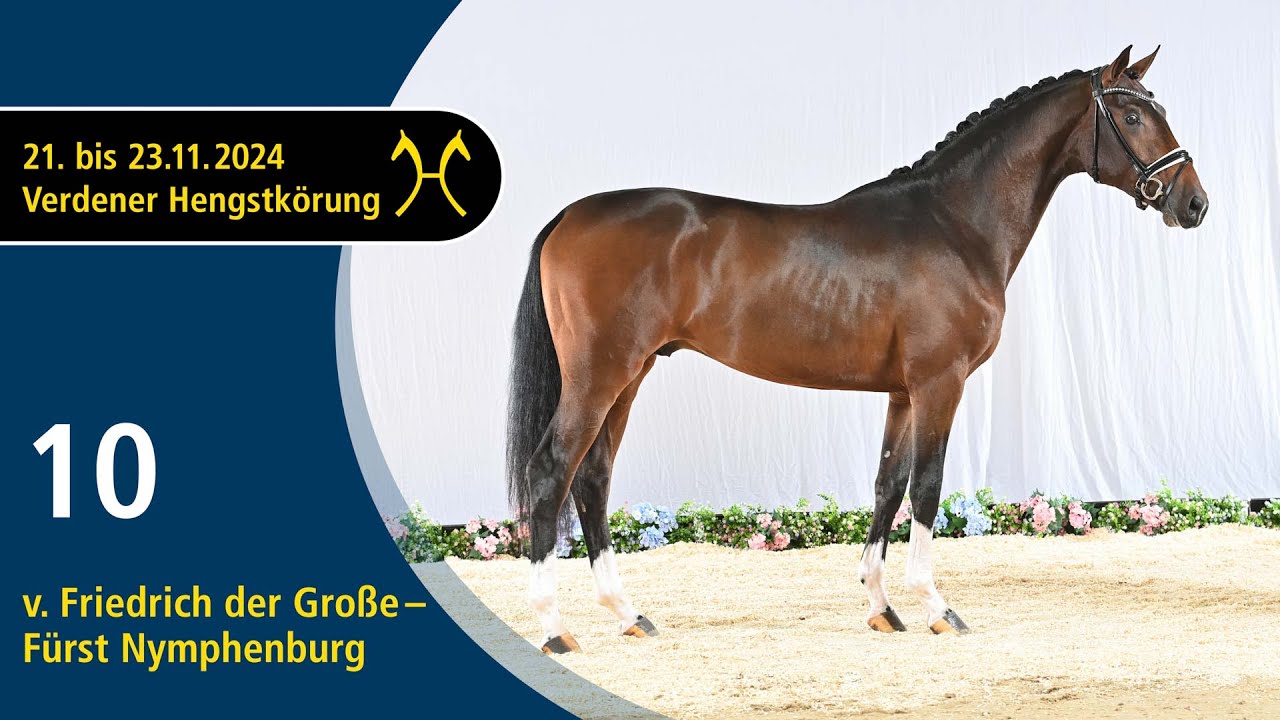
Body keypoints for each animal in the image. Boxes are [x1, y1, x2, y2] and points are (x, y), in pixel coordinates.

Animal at [505, 45, 1208, 654]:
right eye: (1133, 115)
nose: (1194, 202)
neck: (954, 224)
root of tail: (569, 216)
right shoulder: (940, 383)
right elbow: (927, 487)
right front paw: (938, 607)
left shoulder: (902, 392)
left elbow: (888, 485)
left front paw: (882, 606)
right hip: (601, 375)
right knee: (552, 472)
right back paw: (554, 629)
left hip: (630, 375)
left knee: (593, 477)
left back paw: (629, 614)